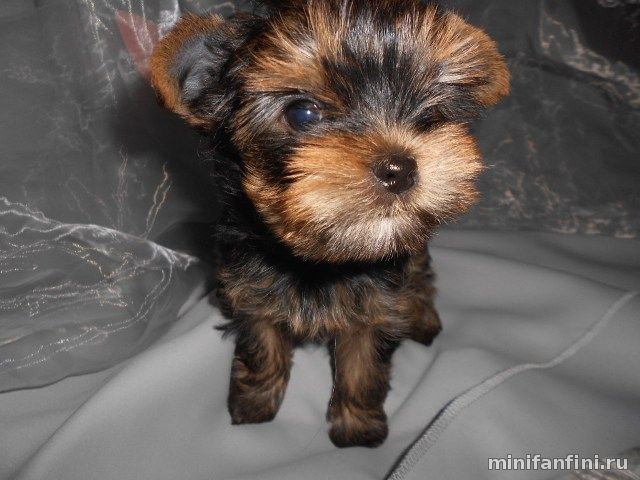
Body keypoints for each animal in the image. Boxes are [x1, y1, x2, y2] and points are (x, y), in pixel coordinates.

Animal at [150, 0, 509, 448]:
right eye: (303, 113)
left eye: (433, 111)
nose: (400, 168)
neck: (321, 259)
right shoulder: (249, 293)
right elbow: (262, 346)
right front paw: (255, 403)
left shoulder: (376, 309)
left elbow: (362, 367)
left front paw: (356, 428)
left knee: (421, 276)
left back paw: (423, 318)